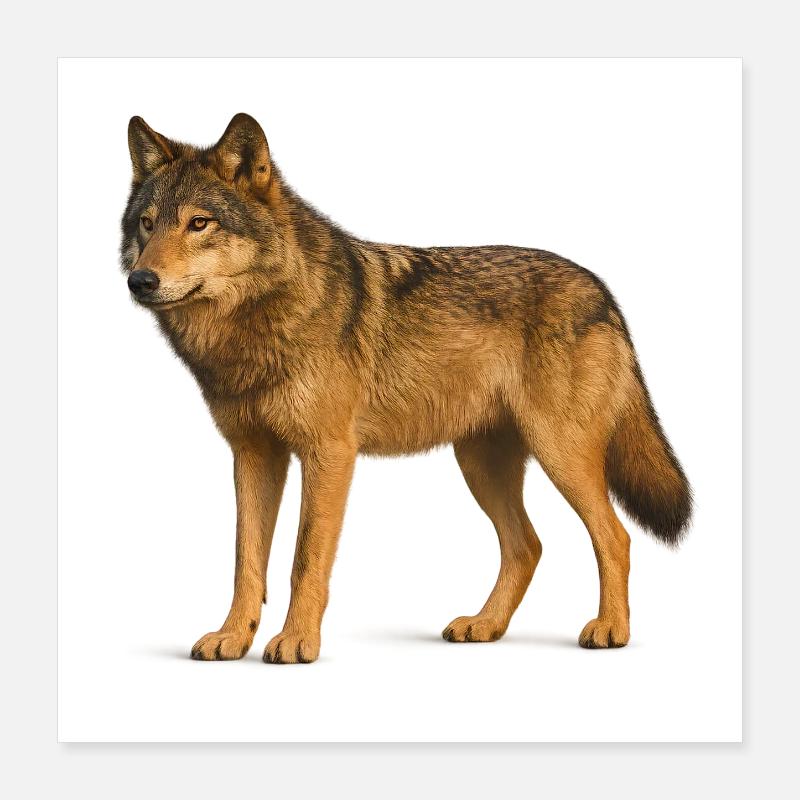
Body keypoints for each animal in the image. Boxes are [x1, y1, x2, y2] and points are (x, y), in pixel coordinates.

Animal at [121, 113, 692, 664]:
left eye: (199, 223)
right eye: (147, 224)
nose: (140, 281)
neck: (255, 324)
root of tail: (603, 292)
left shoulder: (329, 454)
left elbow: (304, 560)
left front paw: (297, 642)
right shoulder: (254, 454)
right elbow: (246, 561)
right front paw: (232, 638)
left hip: (560, 454)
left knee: (614, 537)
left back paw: (611, 630)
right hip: (481, 465)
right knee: (527, 546)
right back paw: (484, 626)